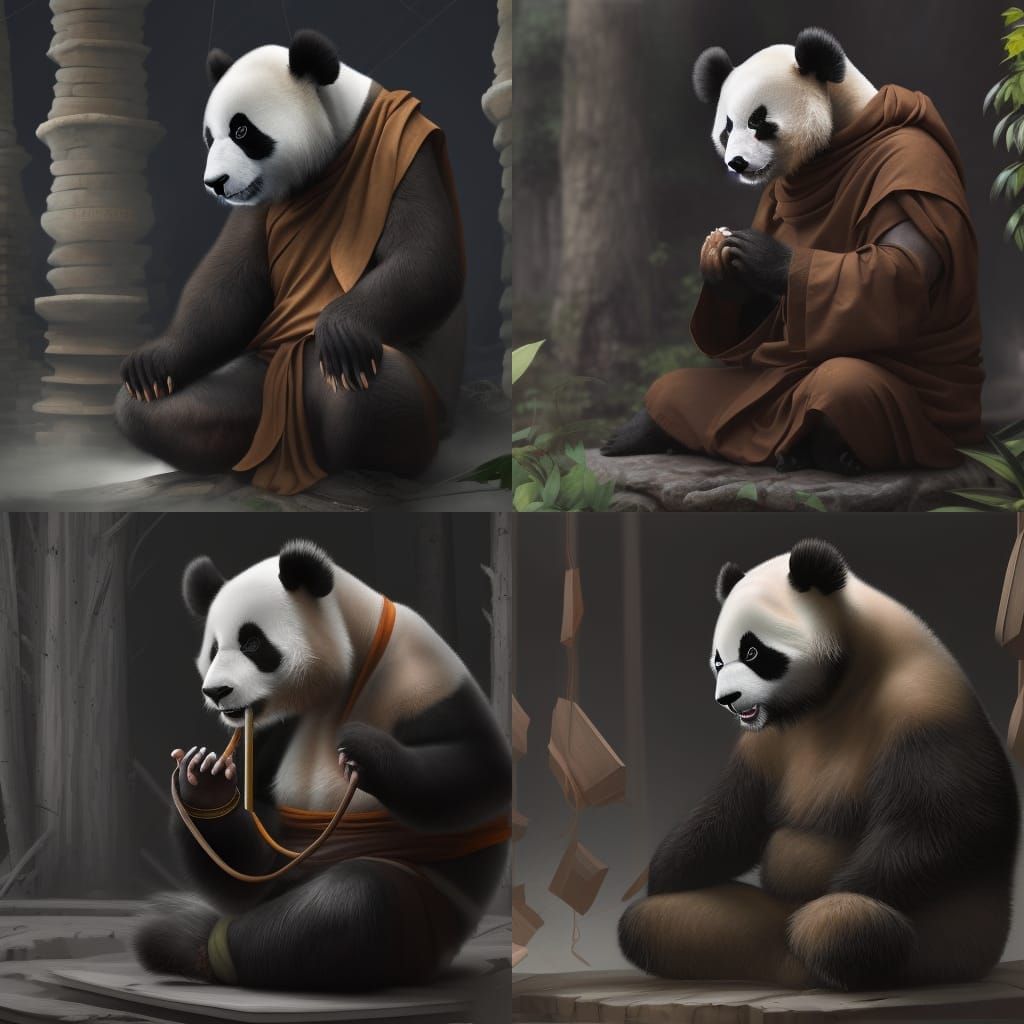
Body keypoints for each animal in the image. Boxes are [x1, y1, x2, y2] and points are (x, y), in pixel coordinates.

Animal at [115, 30, 466, 495]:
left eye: (242, 130)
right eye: (210, 137)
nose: (215, 184)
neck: (342, 131)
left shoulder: (405, 150)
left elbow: (425, 259)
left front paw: (342, 329)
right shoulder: (259, 205)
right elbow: (226, 288)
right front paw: (152, 365)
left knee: (356, 382)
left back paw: (363, 468)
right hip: (260, 378)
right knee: (152, 411)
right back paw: (227, 461)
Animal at [135, 539, 511, 992]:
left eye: (252, 644)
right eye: (212, 649)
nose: (217, 691)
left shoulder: (423, 675)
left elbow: (481, 770)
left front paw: (361, 747)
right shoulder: (271, 734)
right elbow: (250, 862)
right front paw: (205, 780)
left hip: (429, 906)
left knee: (352, 904)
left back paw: (205, 944)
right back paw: (183, 935)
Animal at [618, 539, 1018, 991]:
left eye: (753, 651)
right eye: (719, 660)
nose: (728, 699)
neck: (836, 688)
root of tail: (788, 972)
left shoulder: (924, 704)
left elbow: (950, 822)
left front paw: (844, 889)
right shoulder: (769, 741)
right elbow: (732, 813)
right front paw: (665, 872)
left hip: (950, 946)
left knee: (843, 925)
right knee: (654, 922)